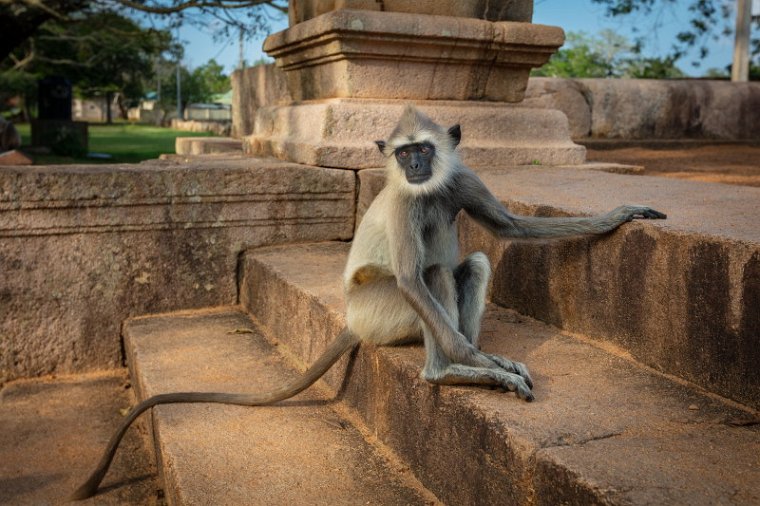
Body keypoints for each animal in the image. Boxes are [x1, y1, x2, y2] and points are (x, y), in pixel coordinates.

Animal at [70, 105, 664, 498]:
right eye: (404, 155)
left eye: (424, 150)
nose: (416, 167)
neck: (427, 189)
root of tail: (354, 320)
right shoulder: (402, 204)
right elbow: (411, 277)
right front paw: (482, 363)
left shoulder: (464, 178)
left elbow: (510, 228)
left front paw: (621, 217)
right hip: (383, 311)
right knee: (429, 274)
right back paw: (448, 371)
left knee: (472, 262)